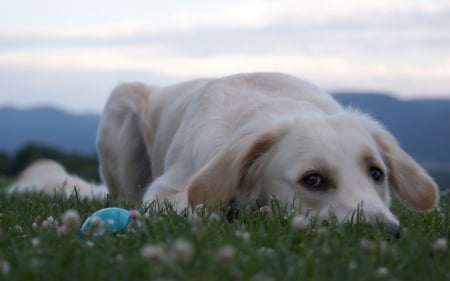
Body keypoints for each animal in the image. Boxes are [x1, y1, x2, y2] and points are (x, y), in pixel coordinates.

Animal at [7, 72, 438, 232]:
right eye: (312, 180)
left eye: (376, 174)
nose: (387, 232)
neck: (275, 106)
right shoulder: (166, 191)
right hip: (121, 102)